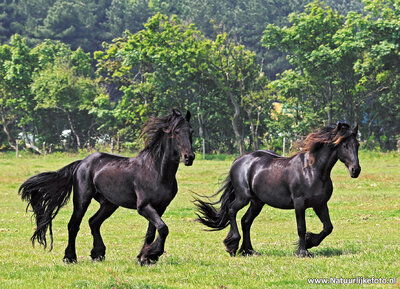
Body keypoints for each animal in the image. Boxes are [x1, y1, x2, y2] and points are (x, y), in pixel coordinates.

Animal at [19, 109, 195, 264]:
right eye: (176, 132)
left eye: (191, 131)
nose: (189, 157)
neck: (156, 171)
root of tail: (82, 163)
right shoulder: (144, 207)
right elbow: (163, 228)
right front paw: (152, 254)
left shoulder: (160, 207)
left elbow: (152, 232)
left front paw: (145, 257)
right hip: (82, 200)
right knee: (73, 225)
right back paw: (70, 258)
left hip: (109, 204)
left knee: (93, 222)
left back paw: (97, 254)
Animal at [195, 121, 360, 256]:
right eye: (344, 145)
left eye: (357, 145)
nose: (355, 170)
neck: (313, 170)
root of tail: (239, 160)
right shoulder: (299, 204)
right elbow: (301, 227)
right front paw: (303, 252)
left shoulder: (320, 204)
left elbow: (328, 227)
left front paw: (310, 242)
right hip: (243, 197)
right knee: (231, 211)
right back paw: (232, 245)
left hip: (257, 202)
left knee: (246, 221)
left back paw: (248, 250)